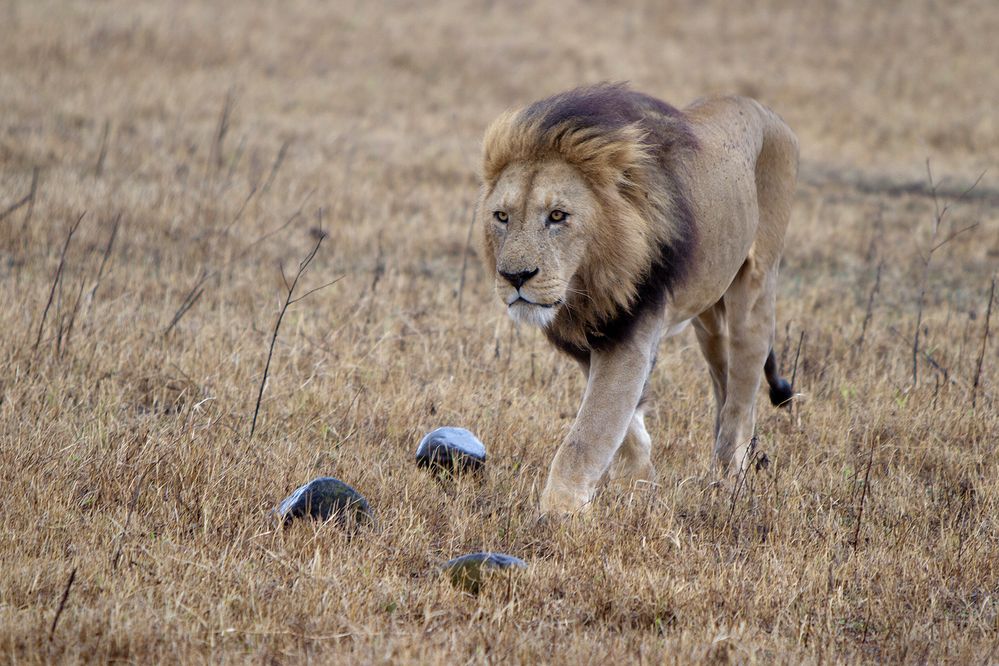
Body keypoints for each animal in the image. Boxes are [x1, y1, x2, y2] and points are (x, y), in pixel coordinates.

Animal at [474, 83, 796, 512]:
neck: (587, 287)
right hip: (708, 318)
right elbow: (625, 427)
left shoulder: (630, 333)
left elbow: (586, 437)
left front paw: (555, 515)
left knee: (742, 398)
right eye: (502, 217)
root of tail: (767, 112)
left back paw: (729, 479)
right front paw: (641, 488)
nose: (515, 277)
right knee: (723, 381)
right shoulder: (593, 338)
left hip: (755, 288)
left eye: (558, 216)